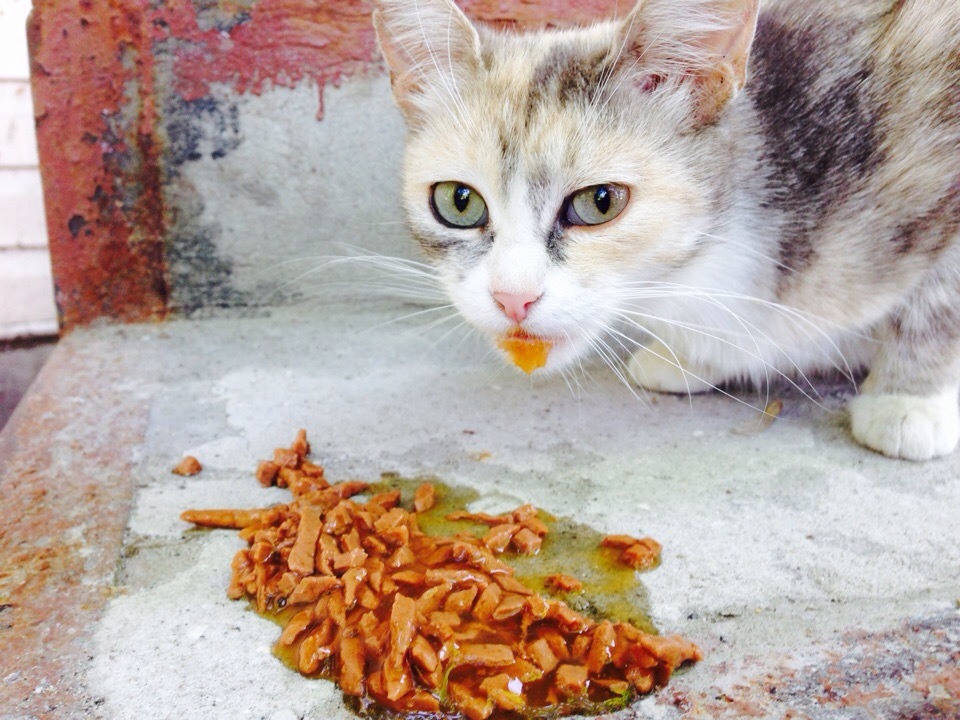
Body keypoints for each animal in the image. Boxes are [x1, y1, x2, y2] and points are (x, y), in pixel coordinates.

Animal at [372, 0, 960, 462]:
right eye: (458, 201)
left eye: (599, 202)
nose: (512, 297)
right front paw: (690, 356)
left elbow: (939, 299)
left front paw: (909, 398)